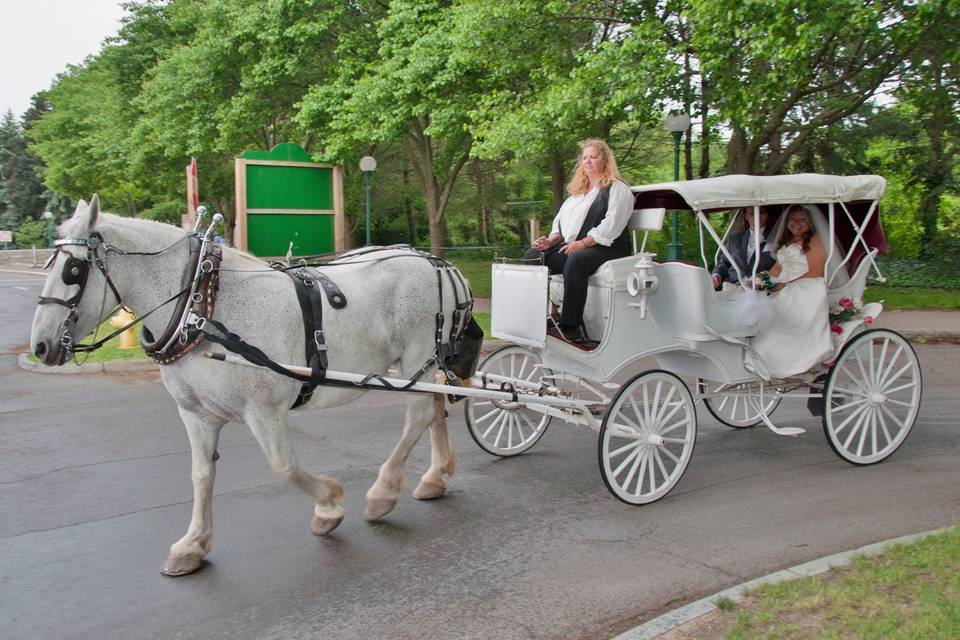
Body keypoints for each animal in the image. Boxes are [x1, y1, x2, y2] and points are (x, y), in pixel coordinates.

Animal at [29, 198, 462, 576]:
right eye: (48, 262)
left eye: (72, 270)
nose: (41, 346)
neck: (202, 308)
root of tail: (437, 262)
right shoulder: (195, 413)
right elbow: (201, 474)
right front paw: (192, 545)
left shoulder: (264, 410)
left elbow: (284, 466)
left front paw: (329, 505)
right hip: (421, 365)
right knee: (436, 406)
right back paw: (434, 477)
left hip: (416, 354)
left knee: (419, 415)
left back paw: (382, 493)